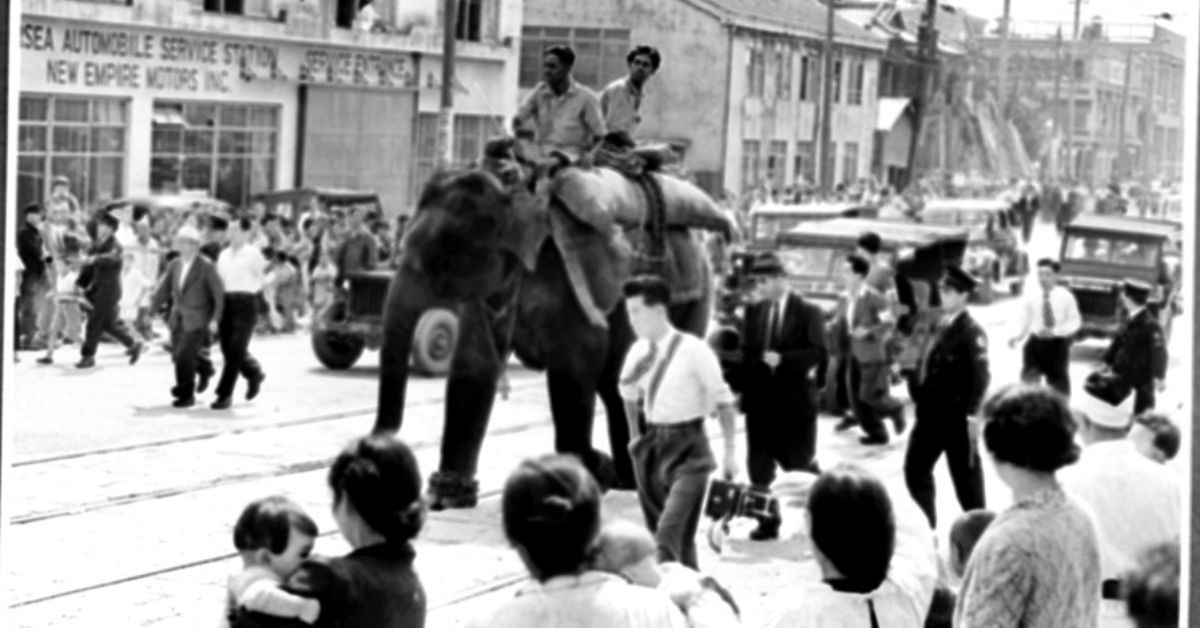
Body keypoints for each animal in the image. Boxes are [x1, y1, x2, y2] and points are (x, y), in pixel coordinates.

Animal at [372, 164, 729, 509]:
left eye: (443, 258)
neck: (515, 198)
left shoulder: (570, 287)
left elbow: (574, 366)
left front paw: (579, 481)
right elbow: (474, 364)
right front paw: (447, 498)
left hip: (695, 294)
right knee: (615, 382)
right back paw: (628, 479)